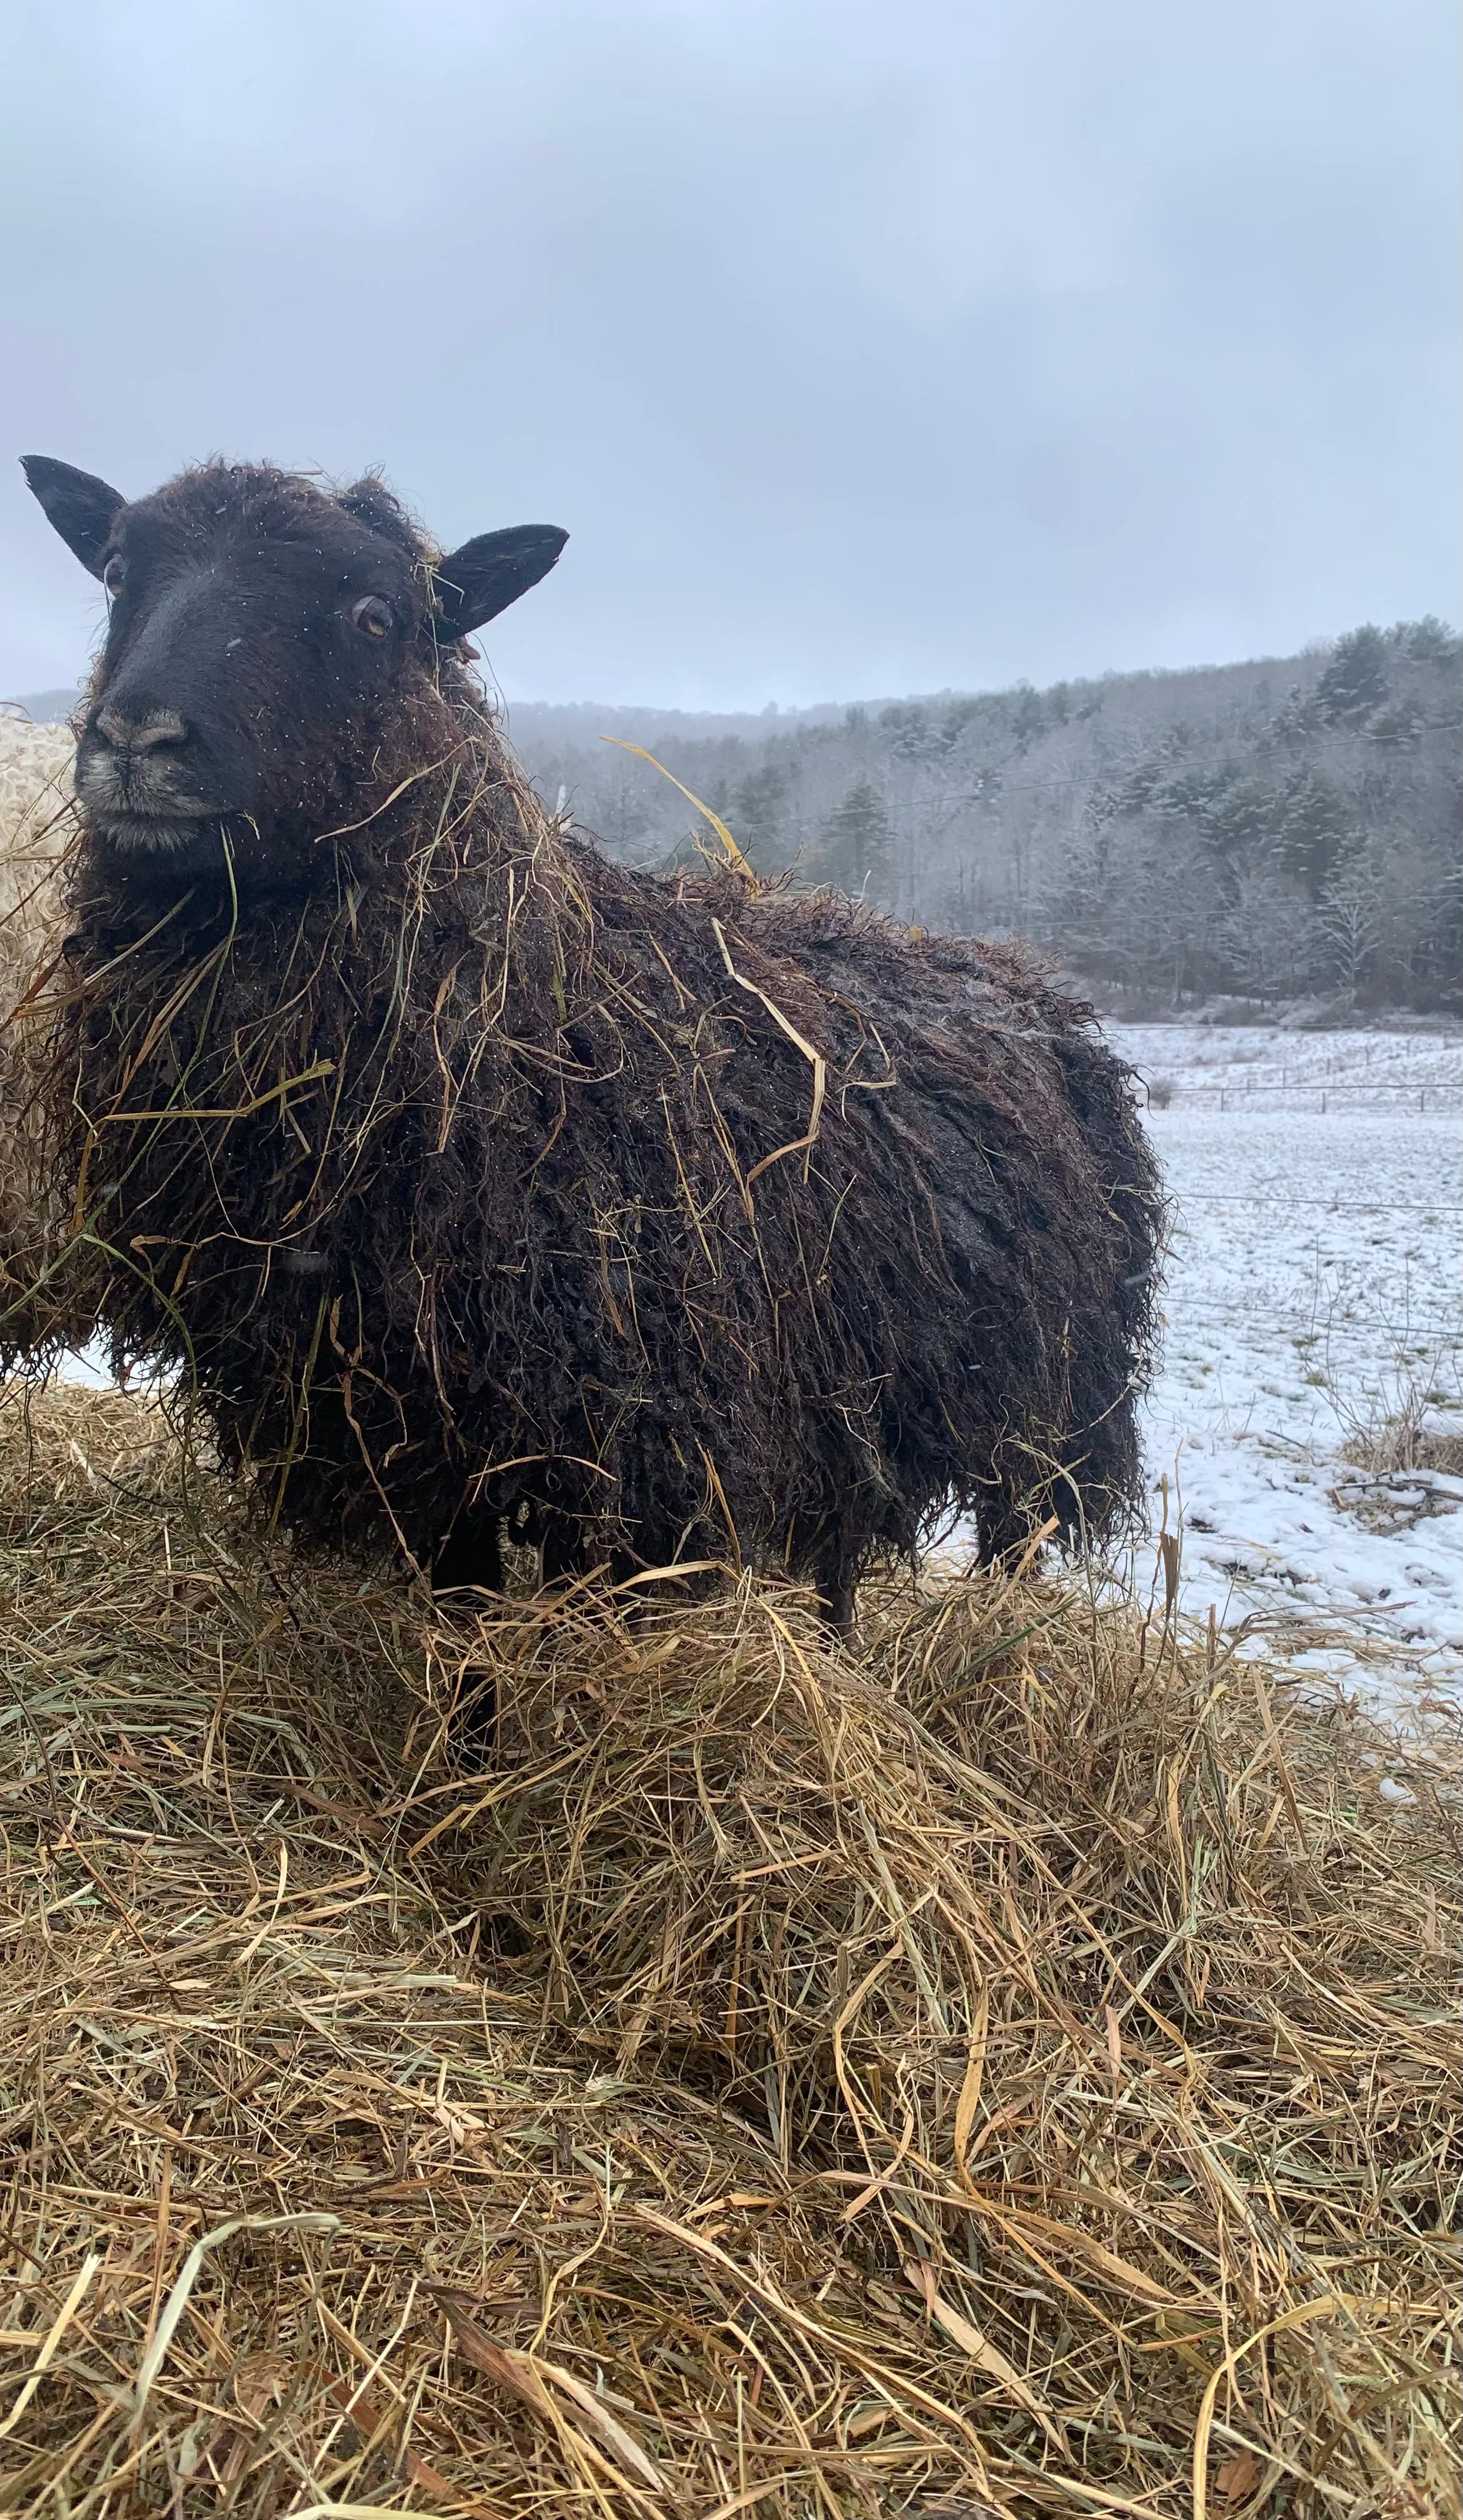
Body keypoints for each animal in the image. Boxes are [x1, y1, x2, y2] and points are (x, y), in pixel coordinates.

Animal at [14, 461, 1163, 1622]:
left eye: (376, 616)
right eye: (117, 573)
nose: (137, 741)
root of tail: (1028, 983)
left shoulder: (623, 1431)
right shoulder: (400, 1416)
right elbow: (462, 1590)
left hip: (1040, 1399)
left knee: (1010, 1547)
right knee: (841, 1550)